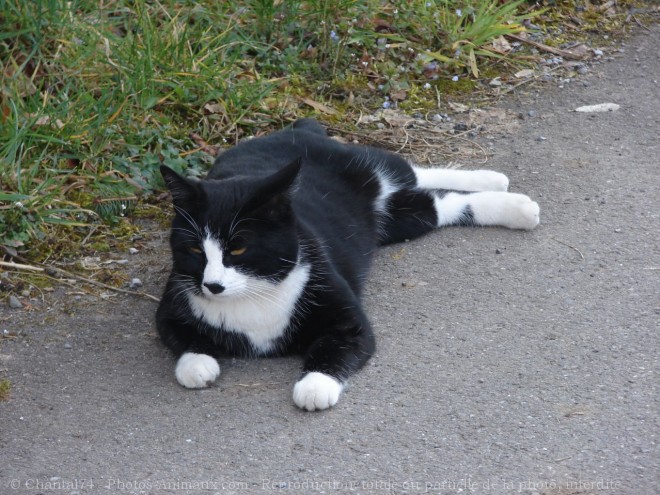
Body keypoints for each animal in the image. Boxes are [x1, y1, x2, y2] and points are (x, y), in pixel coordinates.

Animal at [157, 118, 540, 412]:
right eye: (194, 248)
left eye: (237, 249)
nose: (212, 285)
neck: (254, 295)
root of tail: (296, 128)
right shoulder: (170, 304)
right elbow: (179, 335)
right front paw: (198, 363)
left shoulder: (347, 319)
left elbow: (335, 347)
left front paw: (314, 386)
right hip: (398, 221)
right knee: (434, 203)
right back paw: (501, 192)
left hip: (363, 166)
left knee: (410, 172)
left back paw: (504, 190)